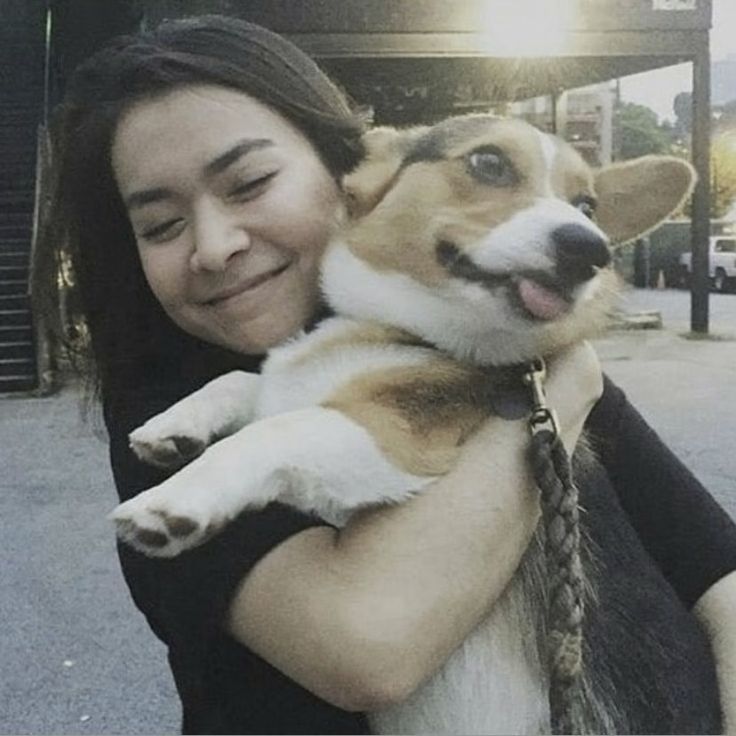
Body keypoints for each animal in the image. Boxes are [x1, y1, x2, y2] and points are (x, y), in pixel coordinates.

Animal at [113, 116, 720, 736]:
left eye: (587, 205)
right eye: (489, 163)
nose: (589, 248)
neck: (409, 335)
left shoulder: (395, 442)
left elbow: (277, 429)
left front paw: (173, 503)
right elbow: (246, 380)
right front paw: (173, 425)